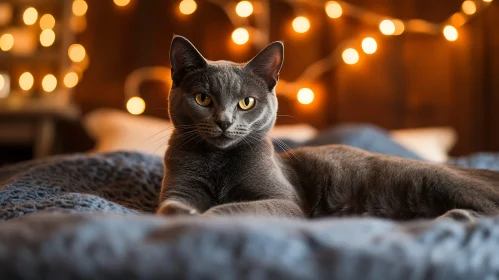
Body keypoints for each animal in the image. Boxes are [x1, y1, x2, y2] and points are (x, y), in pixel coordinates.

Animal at [158, 36, 499, 221]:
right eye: (203, 98)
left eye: (246, 102)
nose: (225, 122)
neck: (218, 163)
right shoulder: (178, 189)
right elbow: (168, 208)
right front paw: (183, 215)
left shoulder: (284, 201)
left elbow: (235, 209)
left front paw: (202, 218)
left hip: (436, 180)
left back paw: (457, 216)